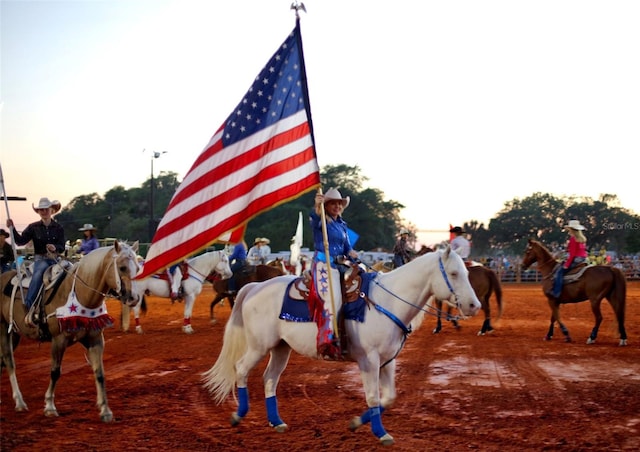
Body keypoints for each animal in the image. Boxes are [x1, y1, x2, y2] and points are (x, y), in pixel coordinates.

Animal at [0, 242, 139, 422]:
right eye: (122, 267)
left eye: (138, 267)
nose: (134, 298)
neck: (79, 294)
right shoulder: (58, 340)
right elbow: (55, 372)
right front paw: (49, 406)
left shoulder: (95, 340)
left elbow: (100, 373)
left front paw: (105, 410)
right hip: (4, 329)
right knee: (9, 361)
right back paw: (19, 402)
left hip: (15, 334)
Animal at [201, 247, 480, 444]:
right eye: (454, 274)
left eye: (467, 273)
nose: (474, 305)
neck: (386, 301)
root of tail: (255, 286)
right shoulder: (369, 361)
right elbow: (373, 396)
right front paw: (381, 434)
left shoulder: (388, 361)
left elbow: (388, 397)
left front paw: (356, 423)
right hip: (259, 346)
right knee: (240, 369)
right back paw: (239, 414)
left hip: (281, 348)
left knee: (270, 378)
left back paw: (276, 421)